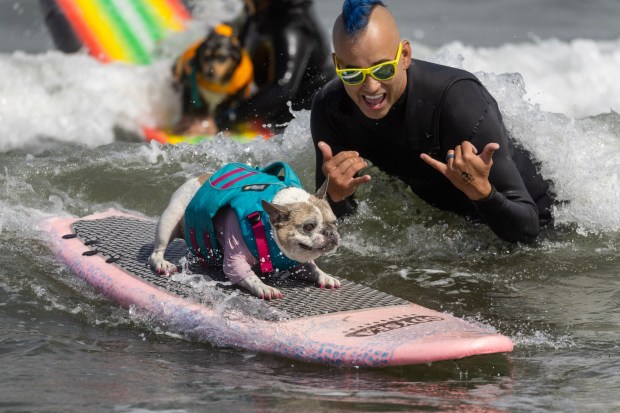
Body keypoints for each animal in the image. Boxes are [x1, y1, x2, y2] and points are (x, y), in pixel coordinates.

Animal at [148, 162, 342, 300]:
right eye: (308, 226)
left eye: (335, 223)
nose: (330, 233)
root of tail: (199, 178)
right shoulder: (235, 260)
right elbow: (249, 276)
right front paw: (264, 287)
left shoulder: (295, 260)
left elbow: (311, 267)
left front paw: (325, 276)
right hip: (171, 218)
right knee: (157, 251)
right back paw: (162, 263)